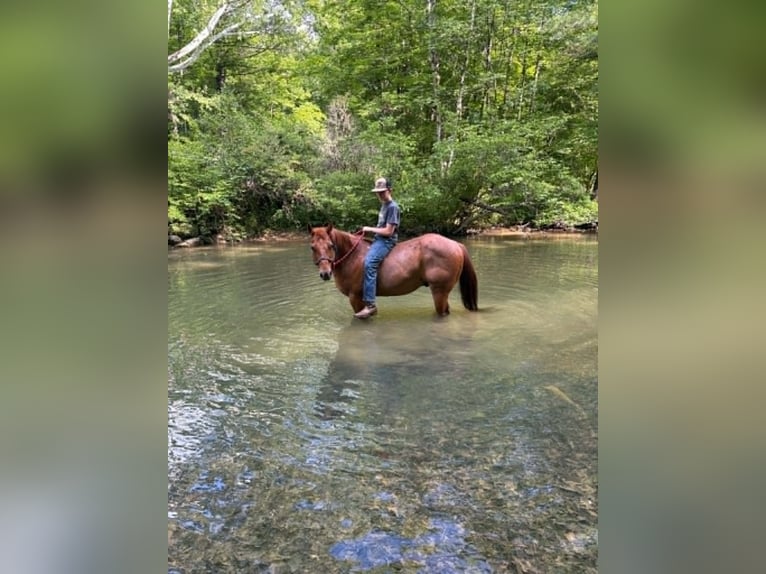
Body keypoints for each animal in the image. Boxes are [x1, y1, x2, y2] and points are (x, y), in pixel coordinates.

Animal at [308, 224, 478, 316]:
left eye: (331, 245)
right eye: (312, 247)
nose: (325, 273)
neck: (353, 256)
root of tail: (456, 244)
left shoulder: (355, 297)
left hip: (439, 291)